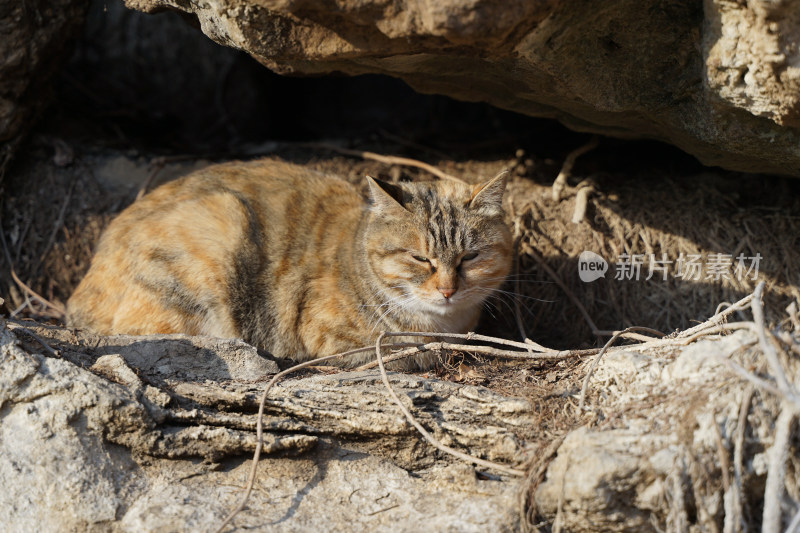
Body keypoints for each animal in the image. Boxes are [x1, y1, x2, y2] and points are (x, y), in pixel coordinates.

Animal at [65, 157, 510, 366]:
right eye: (421, 258)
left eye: (470, 256)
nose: (448, 290)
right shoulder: (336, 340)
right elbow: (412, 353)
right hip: (221, 220)